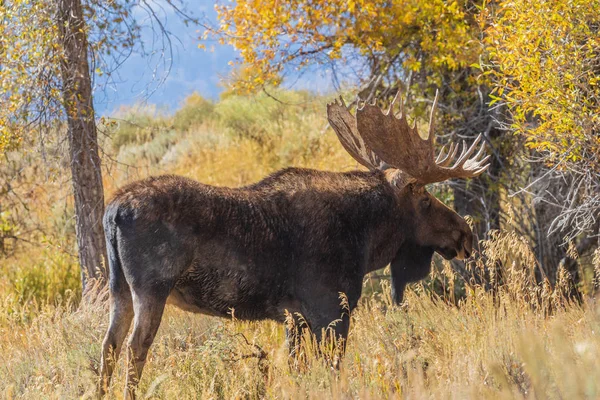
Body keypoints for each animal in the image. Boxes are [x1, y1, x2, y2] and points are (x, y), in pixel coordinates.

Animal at [101, 91, 490, 396]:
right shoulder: (330, 309)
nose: (465, 235)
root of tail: (113, 212)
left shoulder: (295, 318)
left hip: (119, 289)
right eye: (424, 200)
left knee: (109, 345)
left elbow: (297, 370)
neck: (366, 239)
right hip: (152, 288)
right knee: (135, 348)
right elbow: (333, 372)